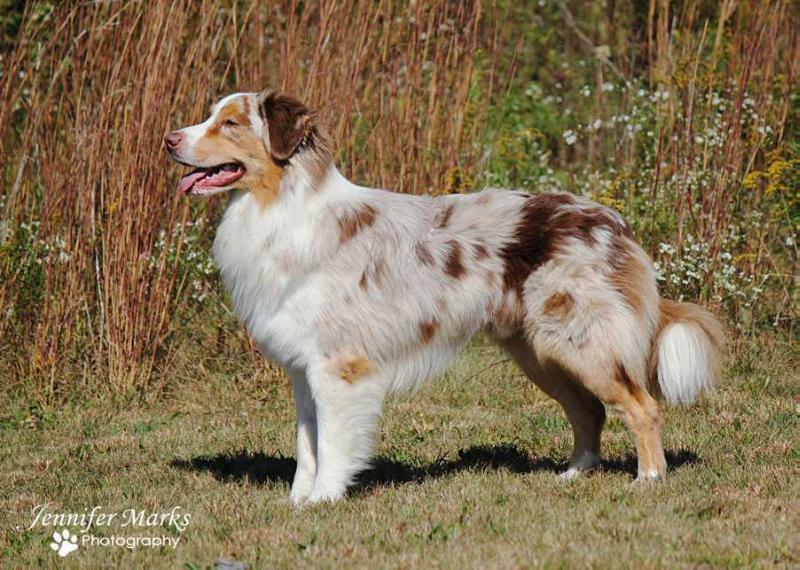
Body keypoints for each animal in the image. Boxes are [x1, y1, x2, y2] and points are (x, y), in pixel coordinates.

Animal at [164, 89, 724, 502]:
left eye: (230, 124)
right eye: (211, 116)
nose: (169, 139)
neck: (281, 208)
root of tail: (611, 220)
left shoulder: (339, 368)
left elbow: (335, 441)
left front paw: (324, 500)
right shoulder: (303, 369)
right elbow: (307, 443)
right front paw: (297, 501)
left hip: (583, 341)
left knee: (642, 406)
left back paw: (648, 480)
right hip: (541, 351)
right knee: (590, 411)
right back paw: (572, 475)